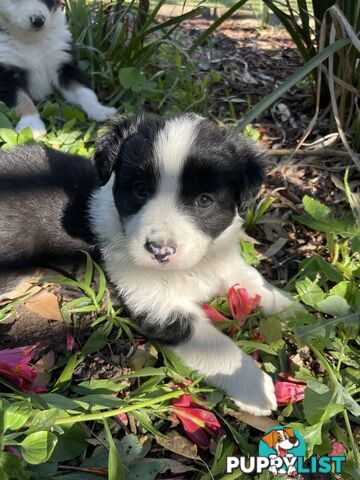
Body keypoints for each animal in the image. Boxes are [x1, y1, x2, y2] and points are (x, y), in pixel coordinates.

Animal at [0, 0, 115, 139]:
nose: (38, 20)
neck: (32, 40)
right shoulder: (7, 75)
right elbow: (22, 99)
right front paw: (31, 125)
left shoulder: (64, 65)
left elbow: (85, 91)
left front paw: (100, 110)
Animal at [0, 114, 296, 414]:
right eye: (140, 190)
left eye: (204, 200)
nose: (159, 251)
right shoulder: (158, 305)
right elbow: (215, 345)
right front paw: (255, 388)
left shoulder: (222, 260)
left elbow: (251, 279)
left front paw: (291, 307)